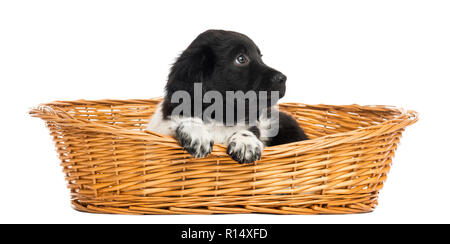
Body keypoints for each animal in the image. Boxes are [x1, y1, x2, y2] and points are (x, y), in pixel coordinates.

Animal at [149, 30, 308, 164]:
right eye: (241, 59)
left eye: (260, 57)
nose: (283, 78)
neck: (222, 115)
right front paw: (198, 134)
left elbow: (251, 129)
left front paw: (246, 142)